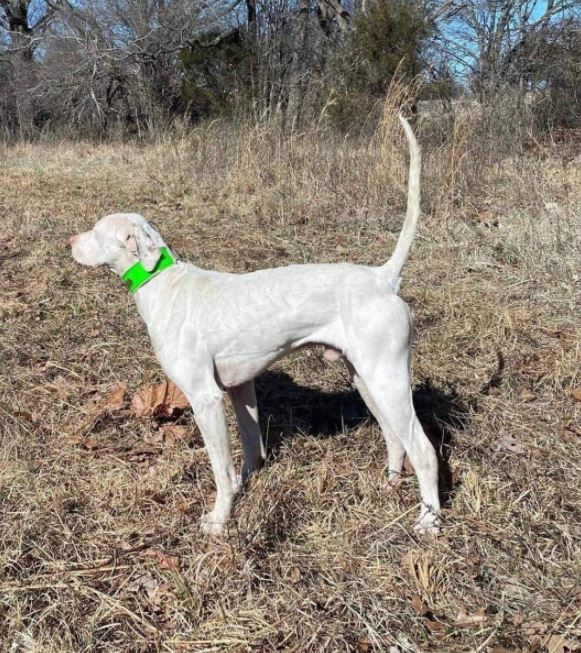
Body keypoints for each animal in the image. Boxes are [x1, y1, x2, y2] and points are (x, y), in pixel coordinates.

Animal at [69, 117, 440, 536]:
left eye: (97, 231)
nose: (69, 241)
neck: (166, 283)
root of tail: (383, 277)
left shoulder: (205, 398)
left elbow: (221, 469)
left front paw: (219, 519)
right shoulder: (240, 389)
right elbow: (249, 449)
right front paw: (245, 486)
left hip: (387, 380)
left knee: (424, 451)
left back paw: (429, 521)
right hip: (366, 379)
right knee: (395, 437)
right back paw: (390, 482)